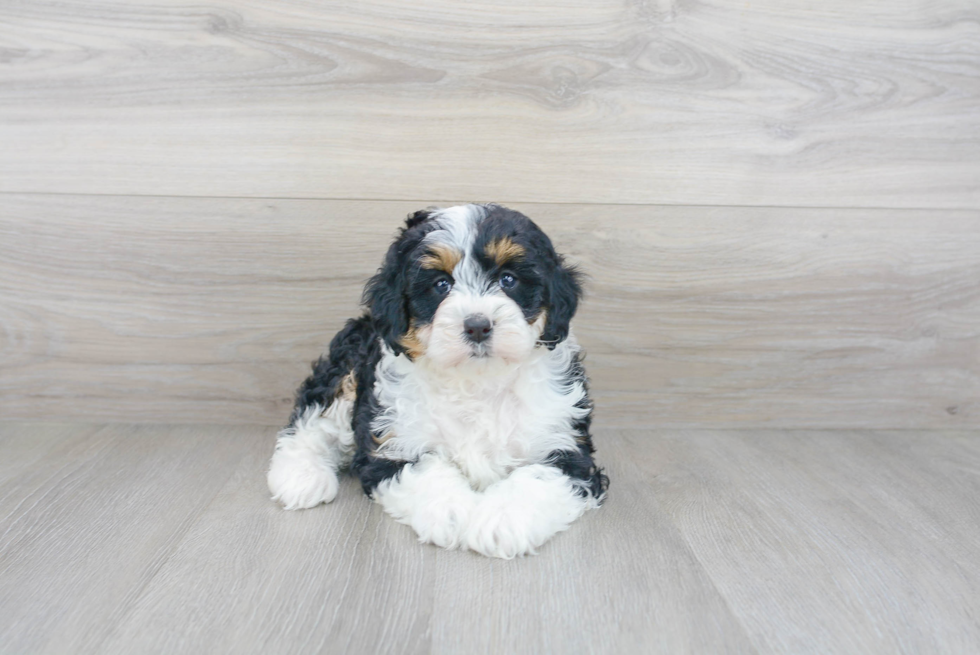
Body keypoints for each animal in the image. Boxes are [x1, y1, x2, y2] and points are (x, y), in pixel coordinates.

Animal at [268, 202, 604, 556]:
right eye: (441, 285)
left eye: (508, 279)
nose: (477, 325)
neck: (477, 381)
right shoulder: (395, 444)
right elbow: (425, 472)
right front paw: (454, 512)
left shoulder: (565, 446)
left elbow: (538, 477)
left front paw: (501, 521)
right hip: (348, 365)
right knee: (313, 421)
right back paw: (300, 476)